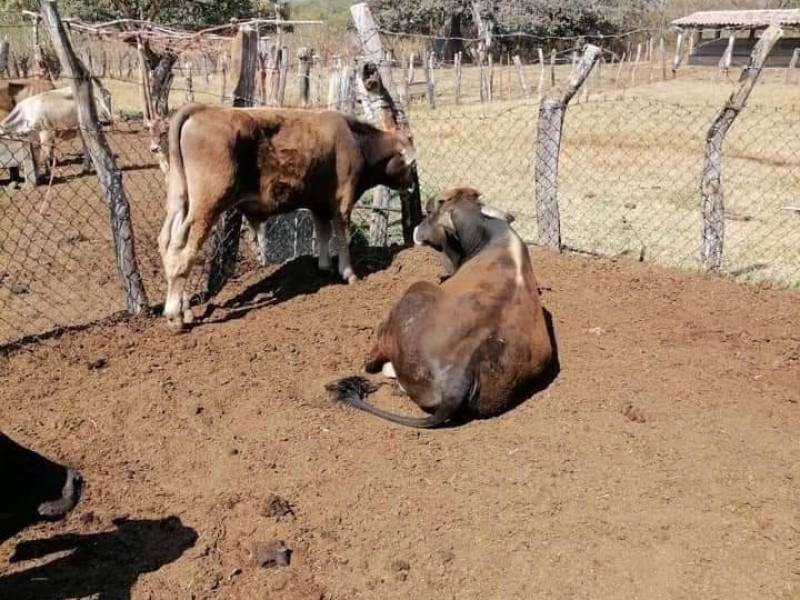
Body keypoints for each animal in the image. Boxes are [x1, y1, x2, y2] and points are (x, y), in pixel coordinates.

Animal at [159, 102, 416, 328]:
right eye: (410, 164)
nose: (412, 186)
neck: (354, 139)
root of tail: (203, 109)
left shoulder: (318, 203)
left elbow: (323, 232)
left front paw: (325, 266)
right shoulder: (343, 197)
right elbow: (342, 234)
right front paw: (349, 273)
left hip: (179, 202)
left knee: (167, 243)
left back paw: (185, 310)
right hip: (206, 206)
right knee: (183, 252)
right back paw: (174, 316)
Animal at [324, 186, 556, 426]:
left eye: (431, 211)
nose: (417, 229)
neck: (490, 235)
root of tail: (458, 377)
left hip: (414, 292)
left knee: (377, 363)